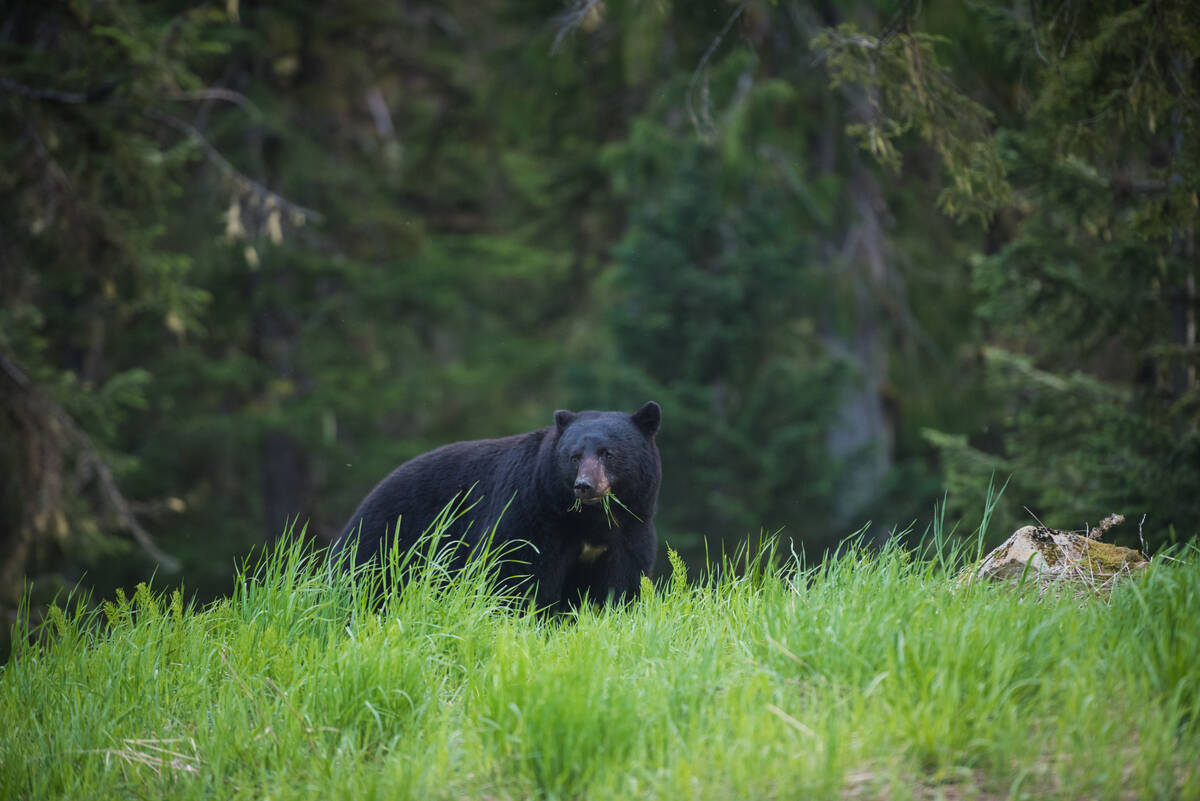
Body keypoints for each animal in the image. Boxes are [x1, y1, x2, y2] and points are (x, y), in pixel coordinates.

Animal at [332, 402, 662, 610]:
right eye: (574, 456)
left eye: (608, 453)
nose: (585, 485)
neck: (590, 520)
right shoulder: (531, 513)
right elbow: (513, 569)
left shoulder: (630, 528)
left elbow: (621, 582)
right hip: (388, 540)